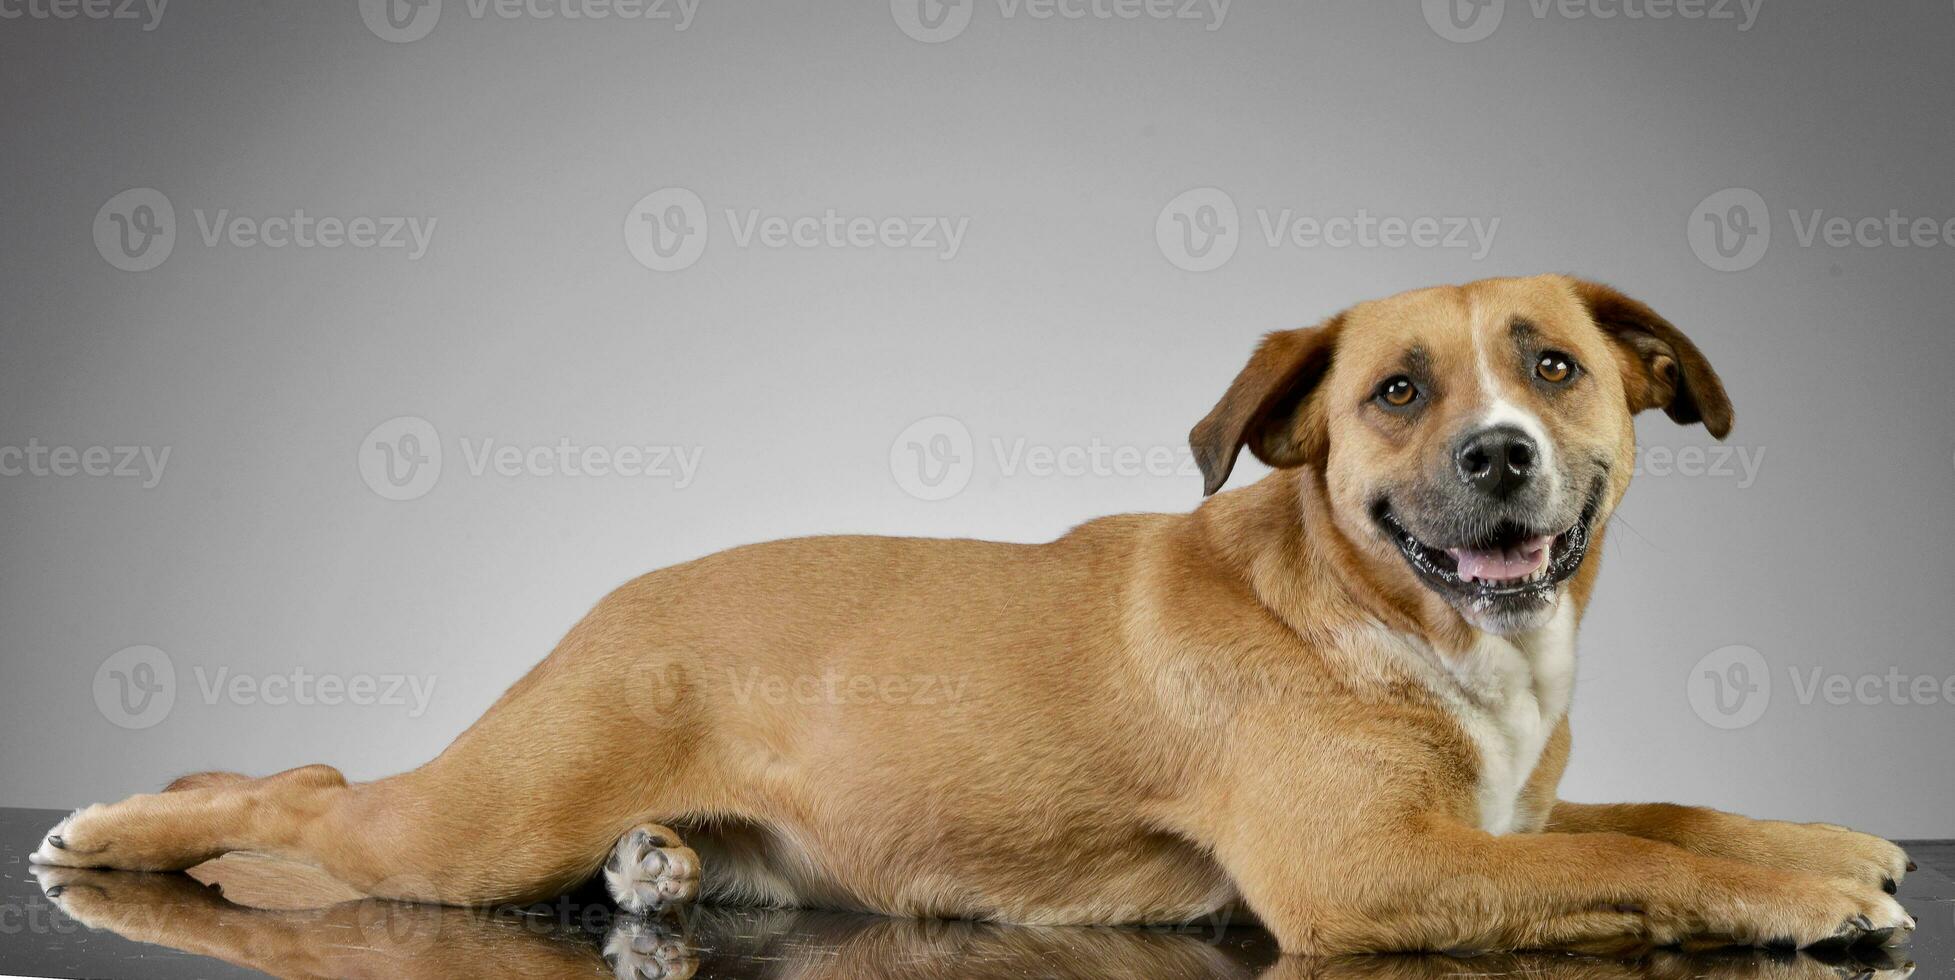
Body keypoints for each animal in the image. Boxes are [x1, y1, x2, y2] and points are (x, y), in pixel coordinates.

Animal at [34, 275, 1923, 954]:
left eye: (1551, 364)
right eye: (1395, 390)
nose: (1499, 452)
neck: (1377, 605)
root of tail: (612, 600)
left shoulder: (1498, 812)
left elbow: (1656, 809)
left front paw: (1821, 840)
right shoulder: (1370, 874)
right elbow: (1636, 854)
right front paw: (1799, 899)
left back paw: (653, 867)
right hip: (473, 829)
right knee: (301, 797)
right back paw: (118, 831)